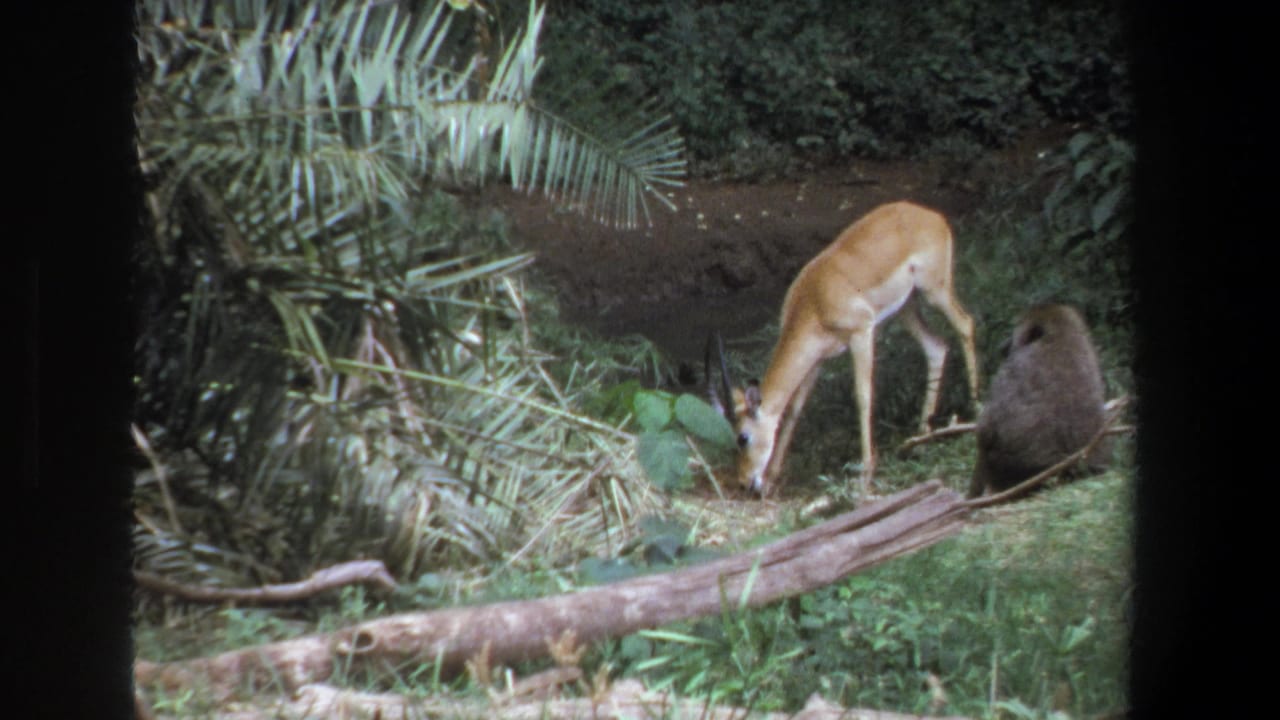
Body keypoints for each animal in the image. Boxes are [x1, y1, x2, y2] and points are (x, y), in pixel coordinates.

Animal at [709, 201, 980, 496]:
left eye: (743, 437)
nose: (744, 482)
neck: (814, 299)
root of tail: (930, 214)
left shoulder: (861, 333)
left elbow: (863, 396)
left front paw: (865, 474)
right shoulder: (817, 358)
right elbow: (794, 409)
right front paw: (770, 480)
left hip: (934, 290)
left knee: (966, 324)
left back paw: (976, 410)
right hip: (906, 308)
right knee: (936, 346)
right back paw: (921, 437)